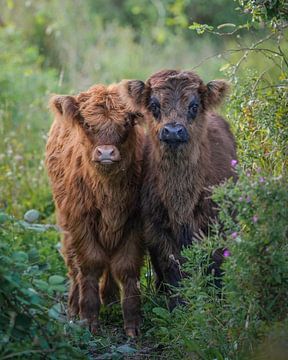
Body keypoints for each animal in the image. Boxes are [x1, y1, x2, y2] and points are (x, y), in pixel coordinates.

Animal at [46, 83, 145, 336]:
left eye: (126, 123)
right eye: (88, 124)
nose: (107, 153)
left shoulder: (136, 222)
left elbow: (126, 267)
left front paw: (133, 322)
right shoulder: (80, 221)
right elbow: (90, 264)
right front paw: (89, 318)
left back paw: (109, 299)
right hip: (65, 224)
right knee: (73, 267)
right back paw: (73, 306)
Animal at [120, 71, 237, 310]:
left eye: (194, 106)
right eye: (154, 105)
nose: (173, 131)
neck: (181, 201)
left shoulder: (216, 227)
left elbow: (216, 265)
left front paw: (218, 303)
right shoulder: (157, 231)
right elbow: (173, 269)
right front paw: (179, 306)